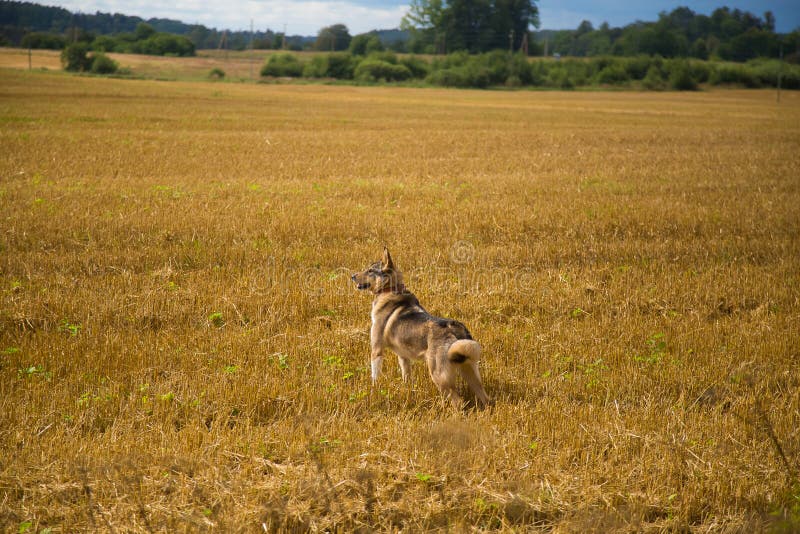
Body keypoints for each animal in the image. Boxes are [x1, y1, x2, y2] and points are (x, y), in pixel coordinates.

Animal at [352, 248, 490, 410]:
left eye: (370, 270)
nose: (352, 276)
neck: (389, 289)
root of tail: (455, 328)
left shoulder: (376, 350)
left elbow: (375, 376)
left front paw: (373, 391)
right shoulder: (403, 356)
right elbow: (407, 376)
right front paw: (407, 392)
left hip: (438, 375)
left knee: (458, 402)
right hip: (469, 372)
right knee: (485, 398)